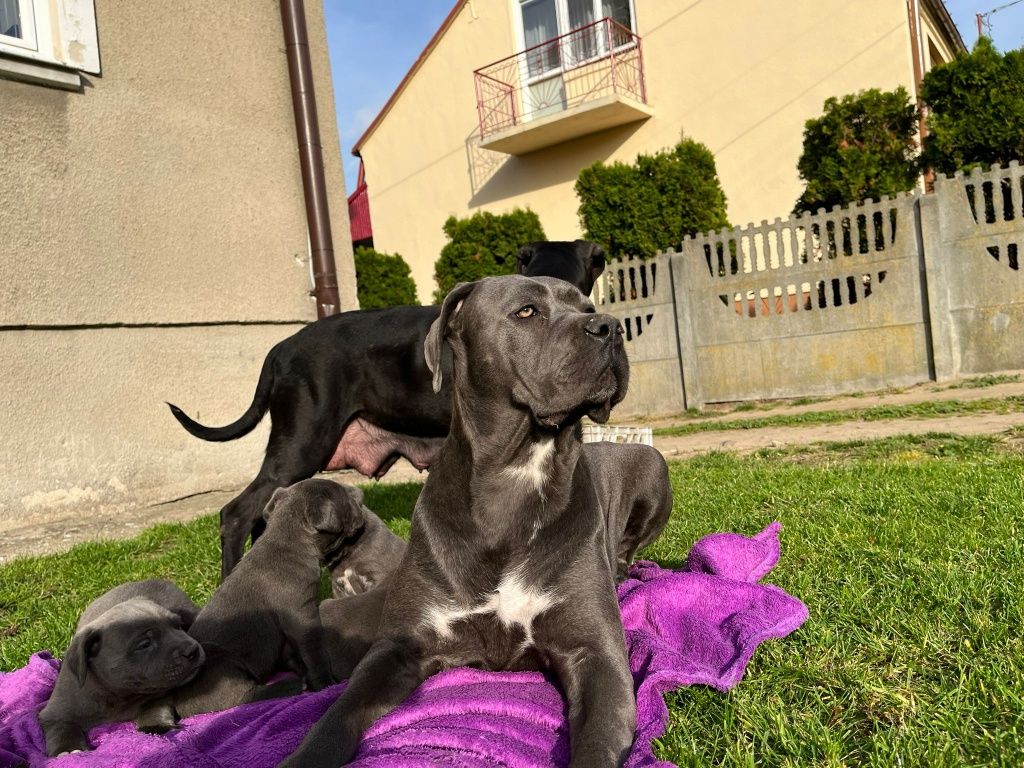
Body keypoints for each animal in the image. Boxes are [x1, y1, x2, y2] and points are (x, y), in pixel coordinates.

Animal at [39, 581, 203, 753]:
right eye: (144, 644)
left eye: (179, 626)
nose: (192, 650)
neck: (117, 698)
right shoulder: (54, 713)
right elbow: (61, 728)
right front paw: (69, 749)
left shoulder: (159, 694)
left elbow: (154, 708)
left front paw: (157, 727)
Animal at [173, 481, 368, 720]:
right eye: (346, 499)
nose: (360, 493)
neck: (288, 538)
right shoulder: (302, 618)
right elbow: (314, 653)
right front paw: (325, 684)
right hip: (221, 666)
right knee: (243, 697)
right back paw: (290, 686)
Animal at [276, 276, 634, 768]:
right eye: (527, 311)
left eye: (587, 307)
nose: (612, 327)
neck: (512, 478)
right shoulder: (398, 647)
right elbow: (335, 717)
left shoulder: (596, 654)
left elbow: (597, 743)